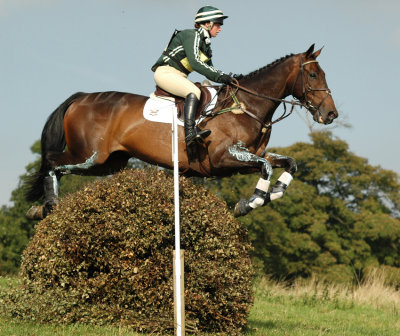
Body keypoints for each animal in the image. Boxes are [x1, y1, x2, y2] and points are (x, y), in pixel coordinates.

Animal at [25, 43, 338, 219]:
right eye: (313, 75)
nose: (330, 114)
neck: (247, 106)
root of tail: (81, 97)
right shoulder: (223, 158)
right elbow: (266, 168)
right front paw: (249, 203)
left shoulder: (246, 158)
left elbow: (288, 164)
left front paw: (268, 196)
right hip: (90, 155)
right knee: (52, 163)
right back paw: (47, 205)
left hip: (109, 163)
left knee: (58, 167)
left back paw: (43, 208)